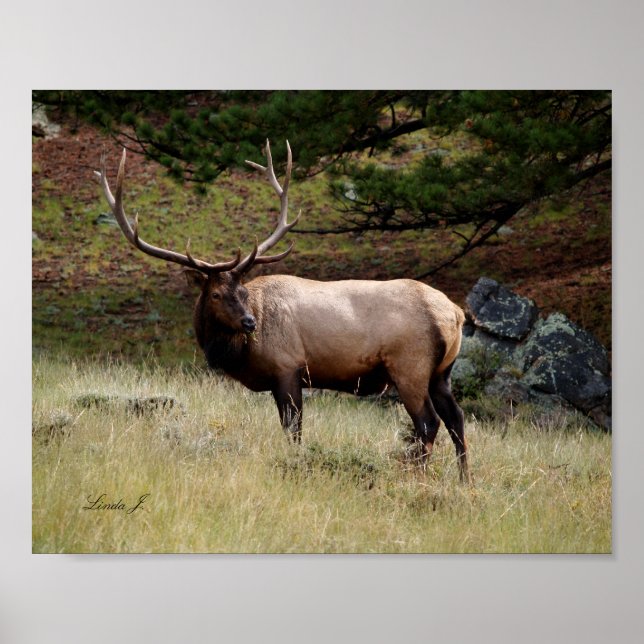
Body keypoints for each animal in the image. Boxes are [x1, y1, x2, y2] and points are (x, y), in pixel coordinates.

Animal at [95, 141, 470, 482]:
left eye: (242, 291)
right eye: (216, 293)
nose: (249, 322)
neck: (239, 354)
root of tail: (455, 313)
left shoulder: (287, 367)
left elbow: (294, 431)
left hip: (410, 366)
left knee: (428, 423)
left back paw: (416, 477)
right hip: (442, 372)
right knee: (457, 418)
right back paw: (465, 481)